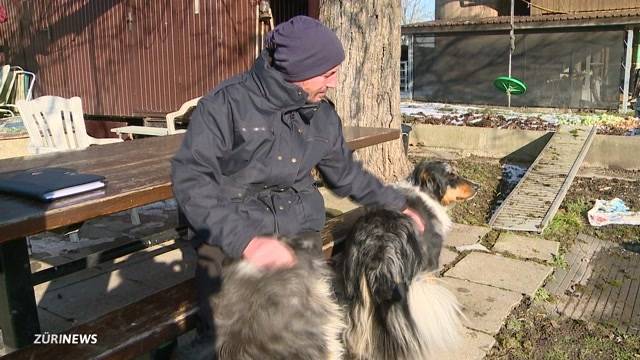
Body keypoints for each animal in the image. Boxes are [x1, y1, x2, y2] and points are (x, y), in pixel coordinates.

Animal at [342, 160, 478, 360]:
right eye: (451, 175)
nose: (478, 186)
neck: (425, 192)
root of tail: (377, 245)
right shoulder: (430, 264)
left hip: (357, 289)